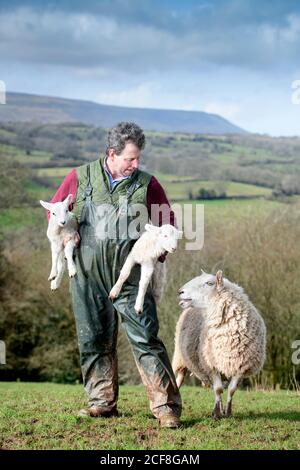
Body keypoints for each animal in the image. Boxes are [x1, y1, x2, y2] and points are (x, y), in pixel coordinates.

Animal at [172, 270, 266, 420]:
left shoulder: (240, 366)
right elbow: (218, 389)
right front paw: (216, 414)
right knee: (179, 380)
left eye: (209, 283)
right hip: (180, 358)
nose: (180, 291)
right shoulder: (212, 364)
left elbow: (231, 390)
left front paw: (227, 412)